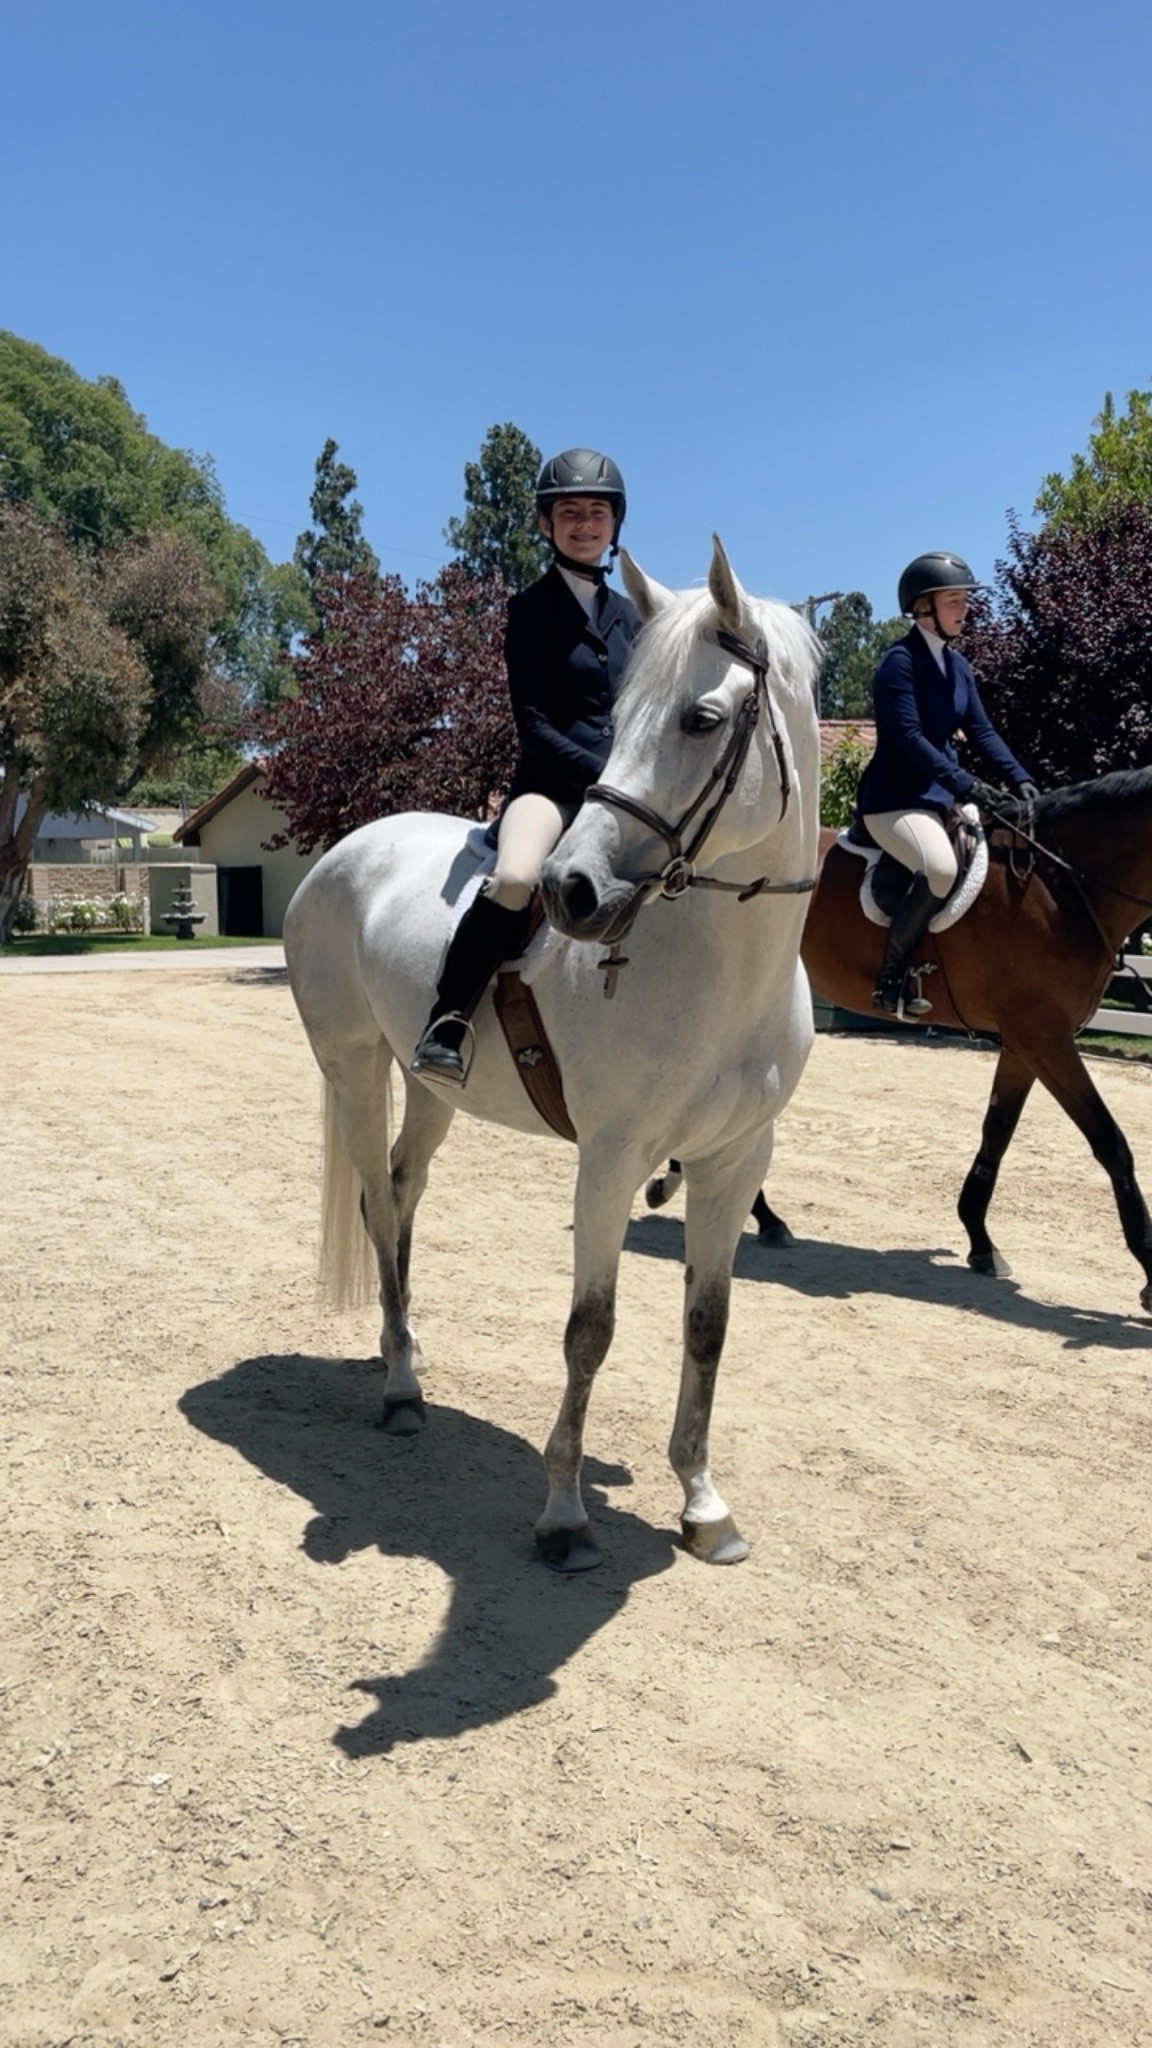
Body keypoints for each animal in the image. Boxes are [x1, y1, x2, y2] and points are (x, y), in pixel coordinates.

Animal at [282, 537, 822, 1572]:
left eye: (700, 719)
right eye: (620, 712)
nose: (574, 891)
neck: (720, 968)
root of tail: (346, 850)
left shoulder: (737, 1163)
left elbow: (708, 1324)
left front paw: (703, 1504)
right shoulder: (612, 1161)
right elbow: (590, 1331)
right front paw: (565, 1516)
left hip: (430, 1087)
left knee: (403, 1191)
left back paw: (403, 1351)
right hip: (353, 1067)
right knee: (376, 1196)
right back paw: (400, 1392)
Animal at [649, 772, 1152, 1312]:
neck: (1062, 889)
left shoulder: (1025, 1041)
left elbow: (997, 1130)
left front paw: (981, 1242)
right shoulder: (1043, 1036)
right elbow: (1110, 1141)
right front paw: (1148, 1272)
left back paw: (728, 1199)